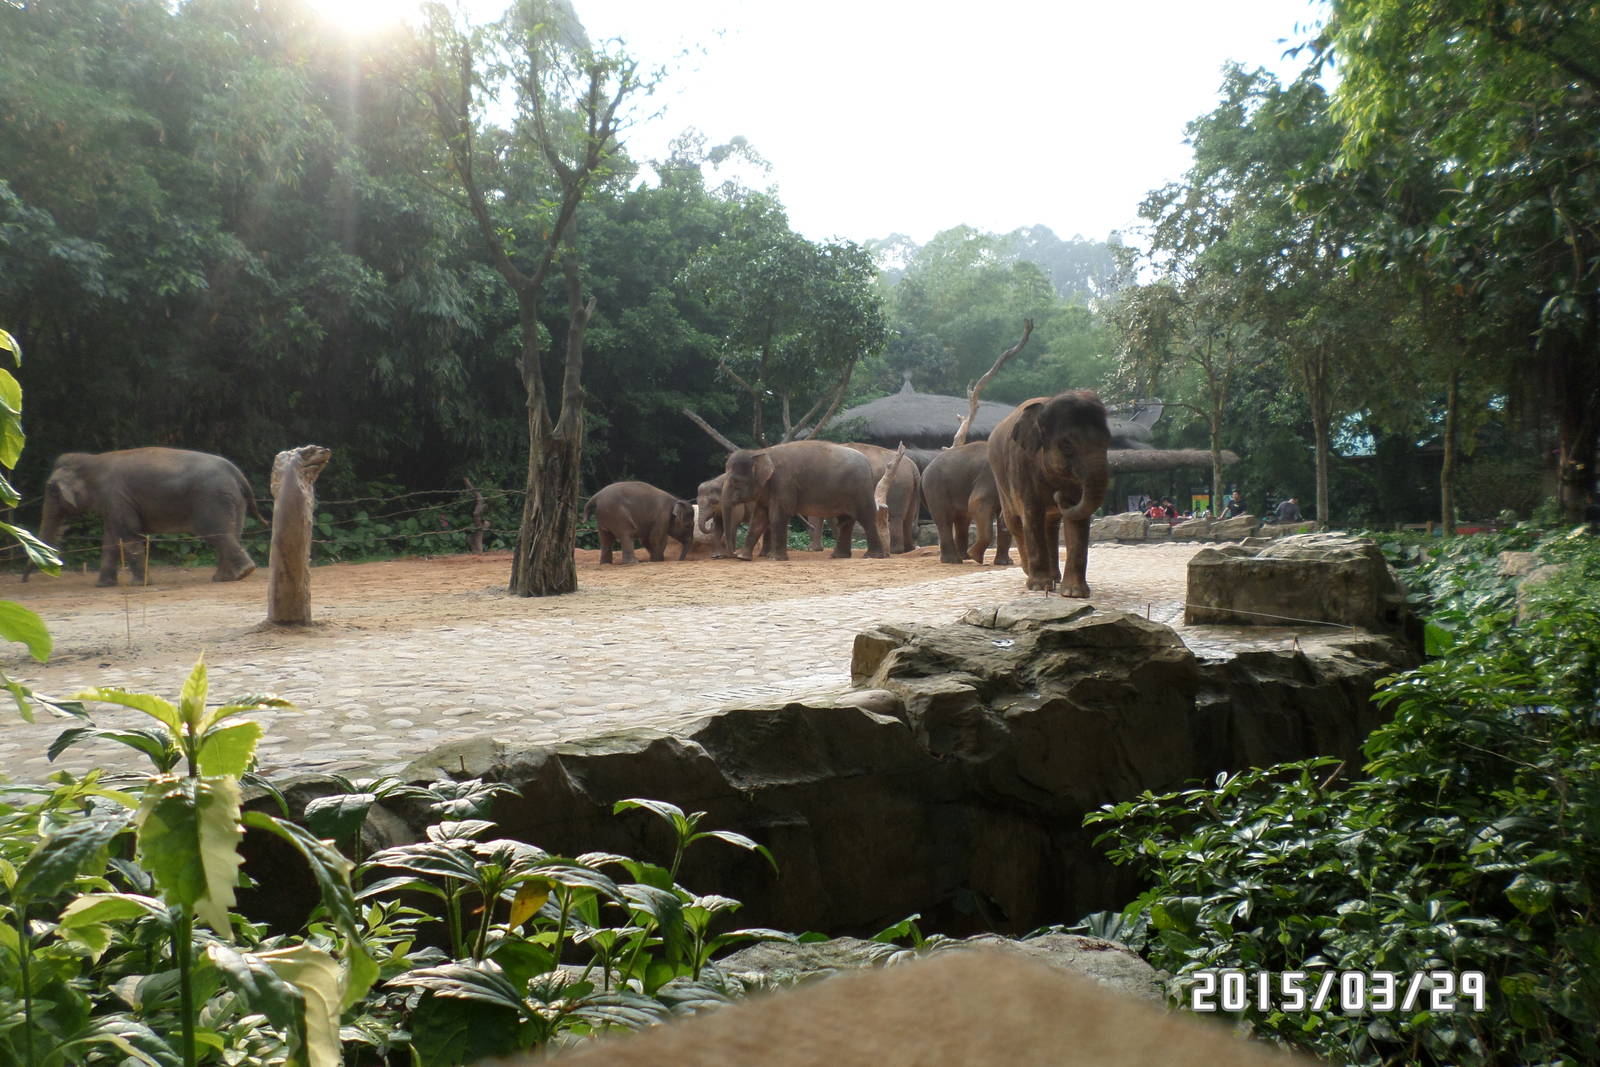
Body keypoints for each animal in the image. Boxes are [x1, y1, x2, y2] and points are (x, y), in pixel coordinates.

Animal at [32, 447, 264, 586]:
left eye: (51, 490)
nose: (26, 580)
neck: (91, 461)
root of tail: (236, 472)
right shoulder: (115, 501)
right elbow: (111, 538)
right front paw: (103, 585)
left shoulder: (116, 495)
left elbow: (128, 533)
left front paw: (139, 584)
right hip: (234, 499)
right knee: (231, 532)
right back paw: (225, 578)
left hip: (212, 498)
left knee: (216, 533)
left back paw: (243, 572)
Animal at [721, 441, 888, 561]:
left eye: (736, 481)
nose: (732, 554)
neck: (760, 452)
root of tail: (868, 463)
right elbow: (758, 519)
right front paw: (743, 558)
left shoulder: (784, 483)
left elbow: (777, 517)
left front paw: (775, 559)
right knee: (845, 521)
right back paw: (838, 556)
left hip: (861, 490)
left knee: (865, 518)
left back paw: (872, 556)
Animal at [987, 390, 1111, 597]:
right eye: (1067, 445)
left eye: (1108, 441)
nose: (1059, 496)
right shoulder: (1022, 466)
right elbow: (1031, 514)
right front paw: (1039, 586)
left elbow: (1077, 519)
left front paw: (1074, 593)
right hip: (1000, 478)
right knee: (1013, 521)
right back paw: (1030, 572)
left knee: (1050, 525)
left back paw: (1054, 578)